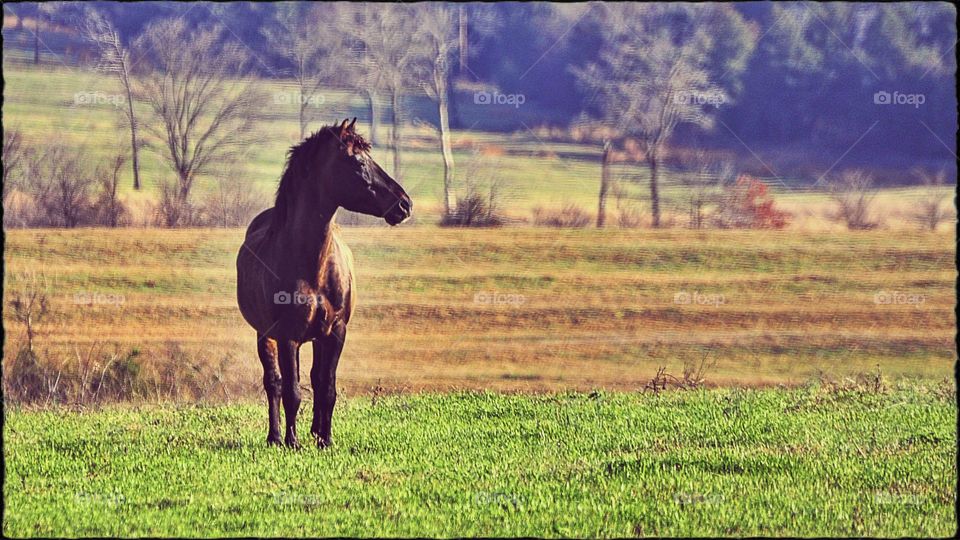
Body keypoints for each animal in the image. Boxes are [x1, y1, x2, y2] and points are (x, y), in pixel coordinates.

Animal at [237, 120, 412, 450]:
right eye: (358, 161)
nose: (405, 204)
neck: (311, 265)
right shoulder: (287, 336)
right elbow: (291, 390)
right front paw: (292, 442)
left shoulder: (336, 332)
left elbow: (326, 387)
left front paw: (325, 440)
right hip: (264, 335)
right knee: (274, 383)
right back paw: (275, 436)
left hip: (318, 337)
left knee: (316, 380)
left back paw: (315, 431)